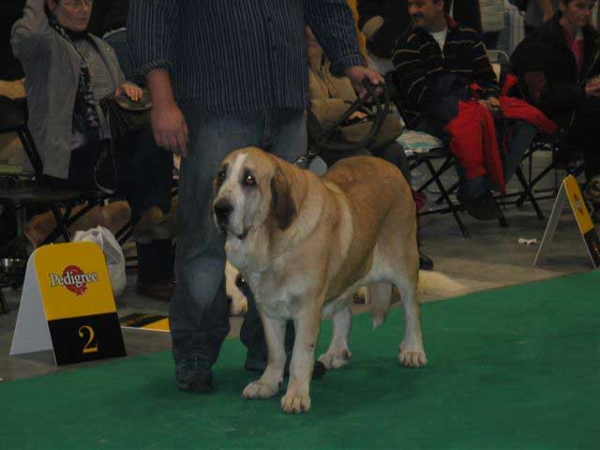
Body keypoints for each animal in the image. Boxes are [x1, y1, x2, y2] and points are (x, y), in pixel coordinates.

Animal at [213, 149, 462, 414]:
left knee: (412, 311)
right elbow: (276, 351)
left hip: (404, 263)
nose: (220, 209)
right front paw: (267, 384)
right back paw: (336, 352)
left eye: (249, 179)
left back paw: (413, 350)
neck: (273, 244)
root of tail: (388, 165)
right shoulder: (269, 309)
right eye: (222, 175)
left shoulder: (307, 310)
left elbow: (300, 355)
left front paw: (296, 395)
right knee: (345, 314)